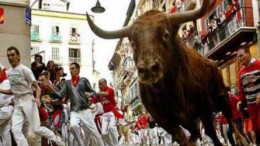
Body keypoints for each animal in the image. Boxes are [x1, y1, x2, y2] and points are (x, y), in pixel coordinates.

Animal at [86, 0, 248, 145]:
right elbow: (182, 138)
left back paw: (241, 139)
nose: (148, 69)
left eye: (165, 34)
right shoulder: (162, 118)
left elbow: (211, 132)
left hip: (220, 94)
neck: (170, 90)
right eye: (132, 42)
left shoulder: (204, 106)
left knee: (229, 117)